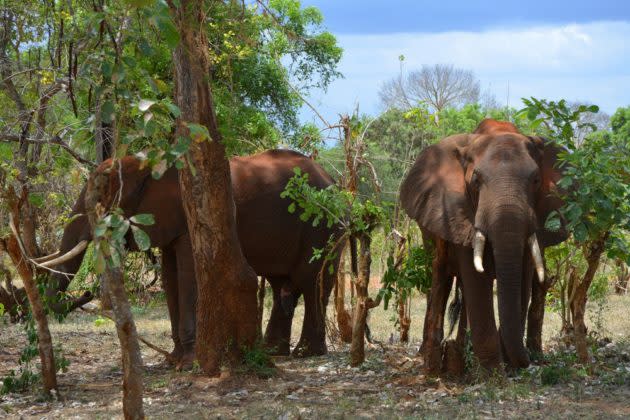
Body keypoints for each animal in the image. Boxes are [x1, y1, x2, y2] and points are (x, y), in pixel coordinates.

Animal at [42, 148, 340, 368]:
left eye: (101, 195)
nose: (87, 294)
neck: (150, 160)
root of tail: (334, 183)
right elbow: (169, 275)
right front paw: (173, 361)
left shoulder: (189, 217)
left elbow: (188, 274)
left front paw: (186, 363)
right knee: (281, 285)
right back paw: (274, 353)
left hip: (322, 227)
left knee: (311, 281)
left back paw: (305, 353)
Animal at [402, 120, 572, 372]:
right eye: (475, 181)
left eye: (536, 181)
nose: (526, 362)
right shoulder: (460, 213)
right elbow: (476, 279)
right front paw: (492, 370)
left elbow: (522, 278)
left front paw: (505, 364)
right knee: (443, 283)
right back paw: (431, 355)